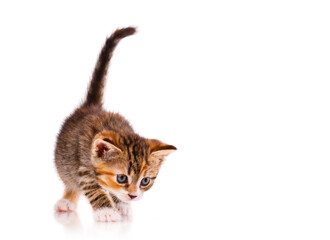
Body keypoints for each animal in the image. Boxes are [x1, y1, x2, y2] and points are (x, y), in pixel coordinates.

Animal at [54, 27, 177, 222]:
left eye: (145, 181)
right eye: (121, 178)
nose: (133, 196)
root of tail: (91, 106)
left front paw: (121, 204)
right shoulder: (83, 166)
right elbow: (93, 188)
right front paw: (106, 211)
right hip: (65, 161)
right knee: (70, 180)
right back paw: (67, 200)